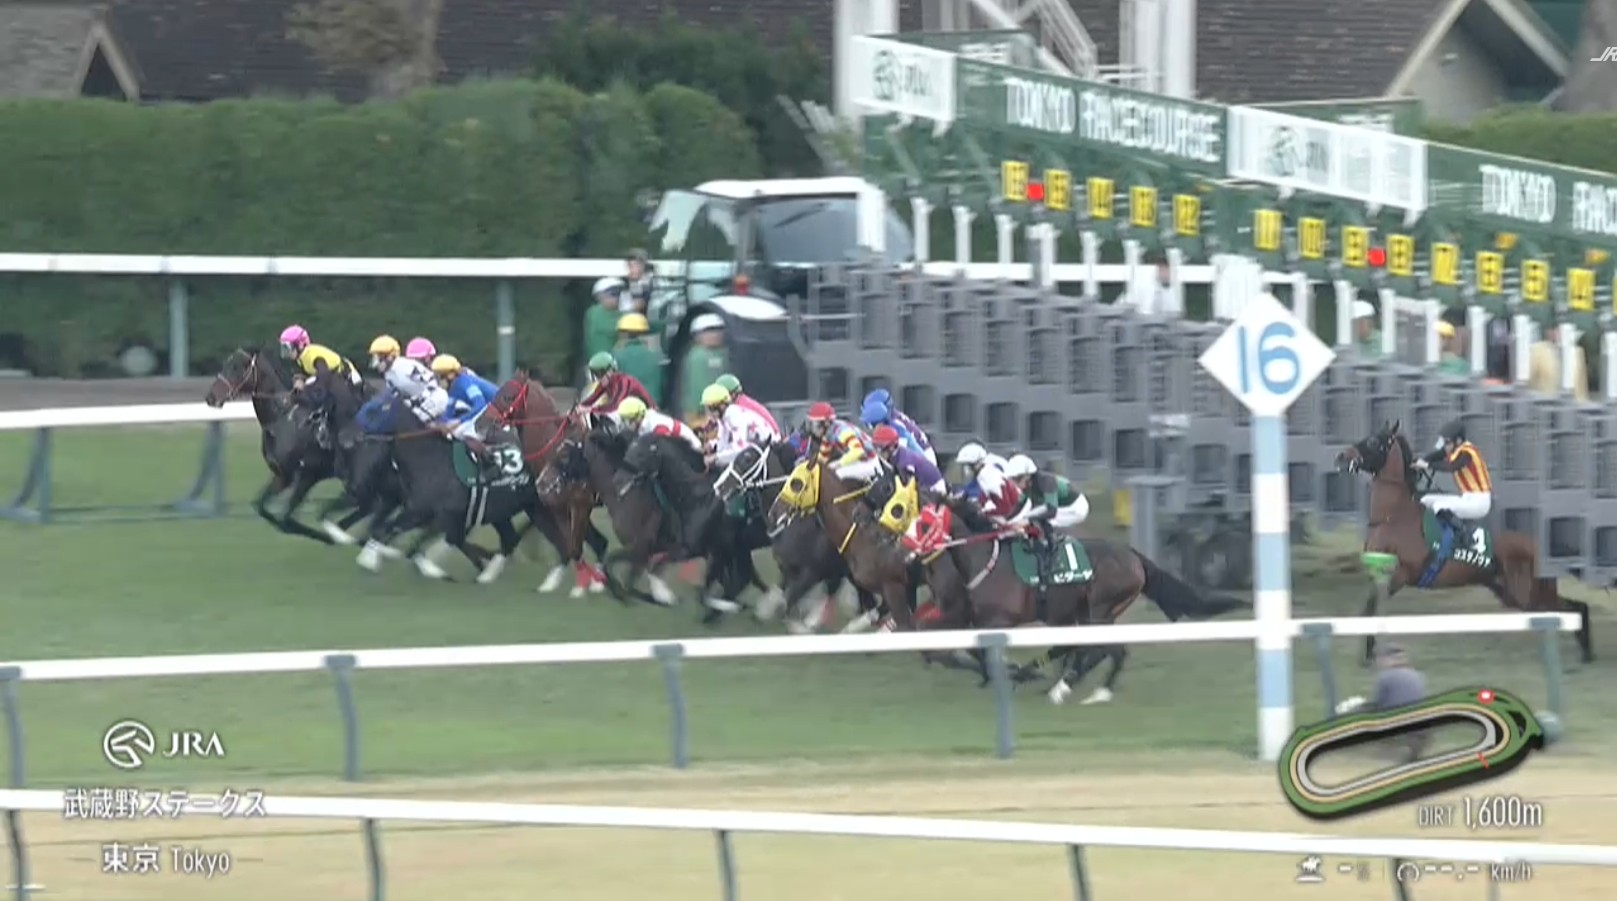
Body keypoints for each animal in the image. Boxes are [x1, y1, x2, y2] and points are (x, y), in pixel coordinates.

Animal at [204, 346, 362, 544]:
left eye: (238, 367)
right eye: (226, 364)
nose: (211, 397)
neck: (283, 419)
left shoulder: (309, 474)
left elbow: (286, 517)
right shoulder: (283, 475)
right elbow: (263, 508)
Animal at [488, 371, 610, 597]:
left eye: (508, 396)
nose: (481, 422)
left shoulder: (580, 504)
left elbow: (574, 545)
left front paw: (584, 586)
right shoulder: (557, 507)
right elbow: (572, 546)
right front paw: (578, 584)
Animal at [713, 441, 874, 632]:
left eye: (747, 458)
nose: (719, 486)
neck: (795, 523)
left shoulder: (812, 573)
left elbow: (788, 606)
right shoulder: (788, 570)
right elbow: (782, 596)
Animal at [1336, 420, 1593, 664]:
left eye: (1373, 442)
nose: (1341, 457)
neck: (1393, 516)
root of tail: (1540, 546)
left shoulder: (1400, 575)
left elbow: (1372, 611)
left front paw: (1369, 654)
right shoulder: (1377, 574)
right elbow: (1368, 611)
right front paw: (1368, 653)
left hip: (1527, 593)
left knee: (1575, 608)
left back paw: (1586, 653)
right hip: (1510, 592)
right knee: (1572, 608)